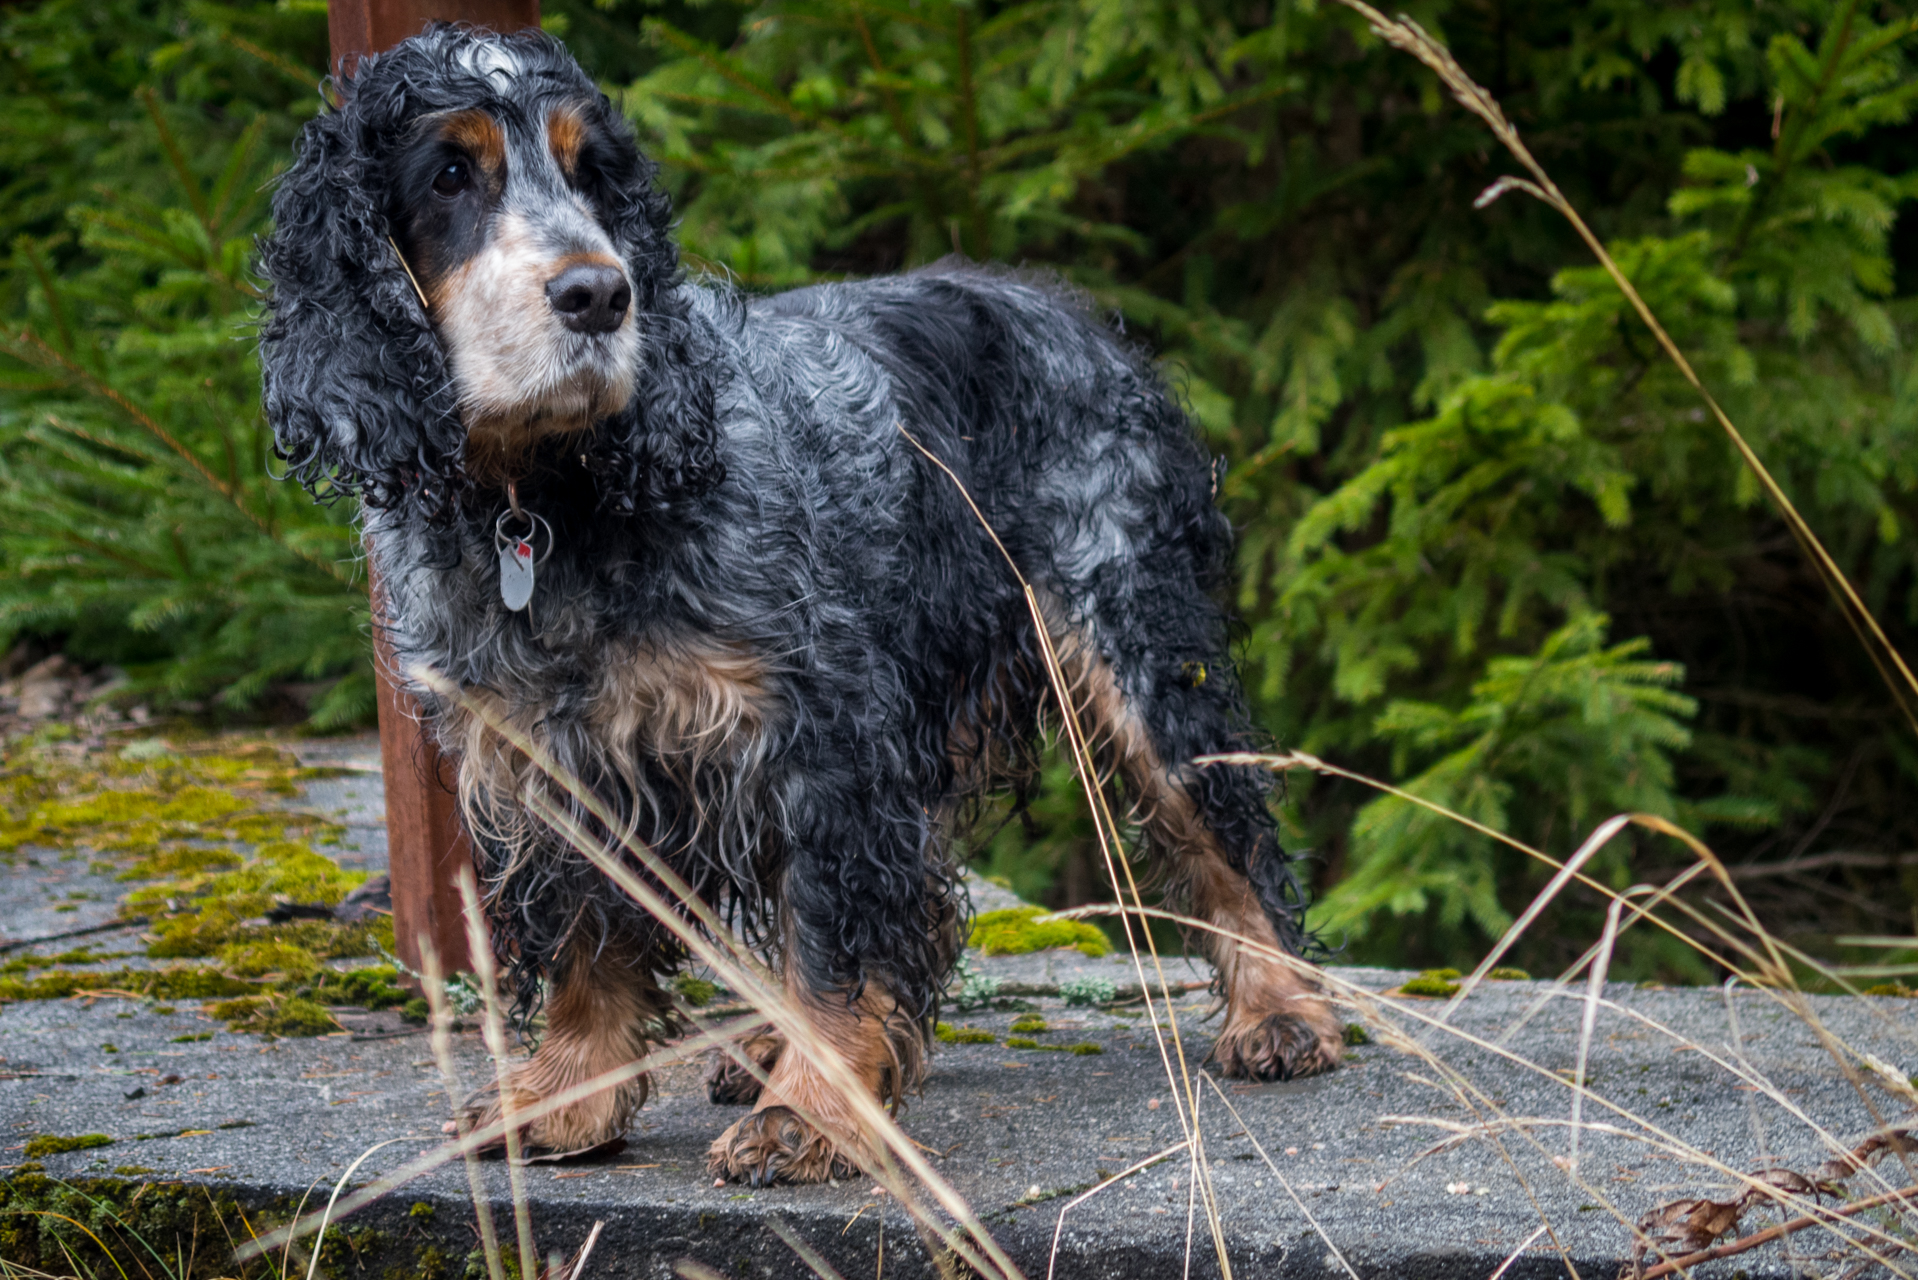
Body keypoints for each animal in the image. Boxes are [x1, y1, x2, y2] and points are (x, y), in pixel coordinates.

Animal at [255, 25, 1342, 1189]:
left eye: (594, 175)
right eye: (450, 176)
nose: (598, 294)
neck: (548, 502)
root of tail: (1075, 313)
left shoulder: (822, 737)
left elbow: (835, 939)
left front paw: (810, 1114)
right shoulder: (558, 759)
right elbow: (592, 942)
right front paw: (564, 1096)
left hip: (1127, 630)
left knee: (1224, 828)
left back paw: (1281, 1012)